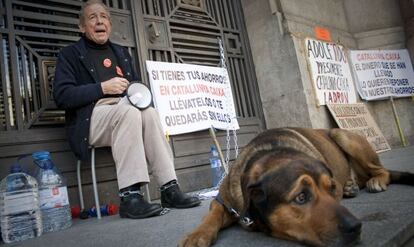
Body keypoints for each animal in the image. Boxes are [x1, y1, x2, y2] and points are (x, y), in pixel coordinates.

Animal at [179, 128, 414, 246]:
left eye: (331, 189)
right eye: (301, 197)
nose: (356, 227)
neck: (272, 154)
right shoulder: (224, 201)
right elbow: (212, 215)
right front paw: (197, 235)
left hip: (341, 134)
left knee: (381, 170)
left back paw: (374, 181)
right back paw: (352, 185)